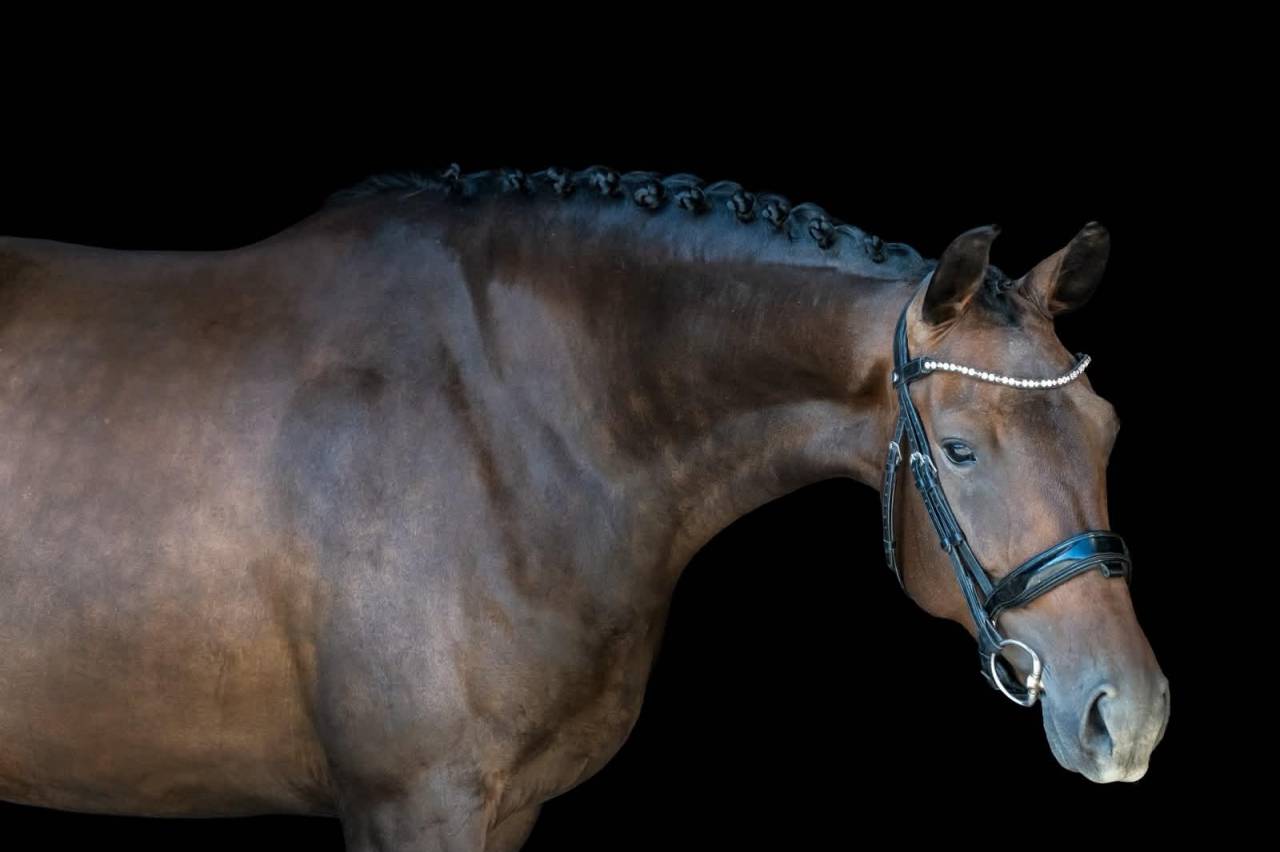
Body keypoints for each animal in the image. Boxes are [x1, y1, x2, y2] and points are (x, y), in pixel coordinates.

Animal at [0, 165, 1169, 850]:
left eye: (1107, 430)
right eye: (962, 450)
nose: (1130, 714)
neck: (509, 415)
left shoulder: (504, 806)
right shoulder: (413, 802)